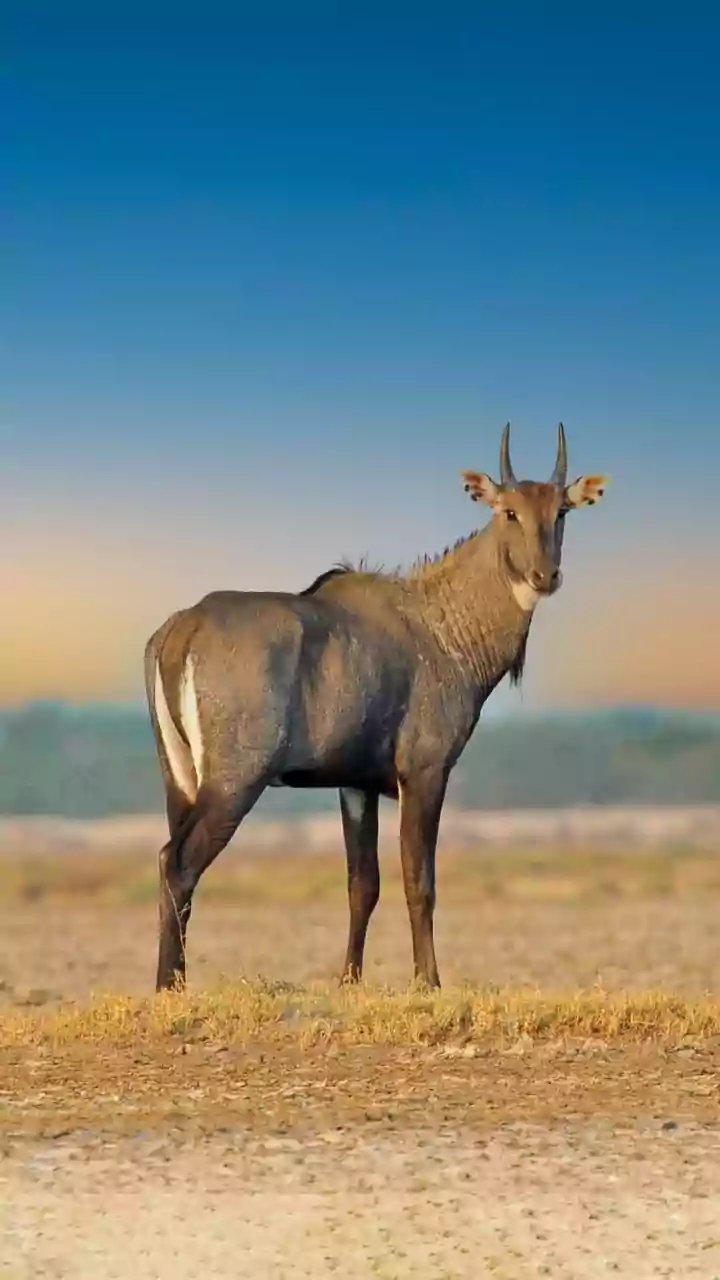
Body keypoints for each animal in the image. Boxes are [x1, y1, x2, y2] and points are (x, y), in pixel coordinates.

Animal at [145, 424, 607, 992]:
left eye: (561, 511)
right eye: (508, 511)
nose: (545, 576)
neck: (441, 625)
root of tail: (182, 629)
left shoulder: (355, 785)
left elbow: (362, 884)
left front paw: (350, 981)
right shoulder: (425, 772)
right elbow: (418, 879)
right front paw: (429, 982)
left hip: (180, 782)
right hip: (235, 782)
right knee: (178, 863)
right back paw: (169, 988)